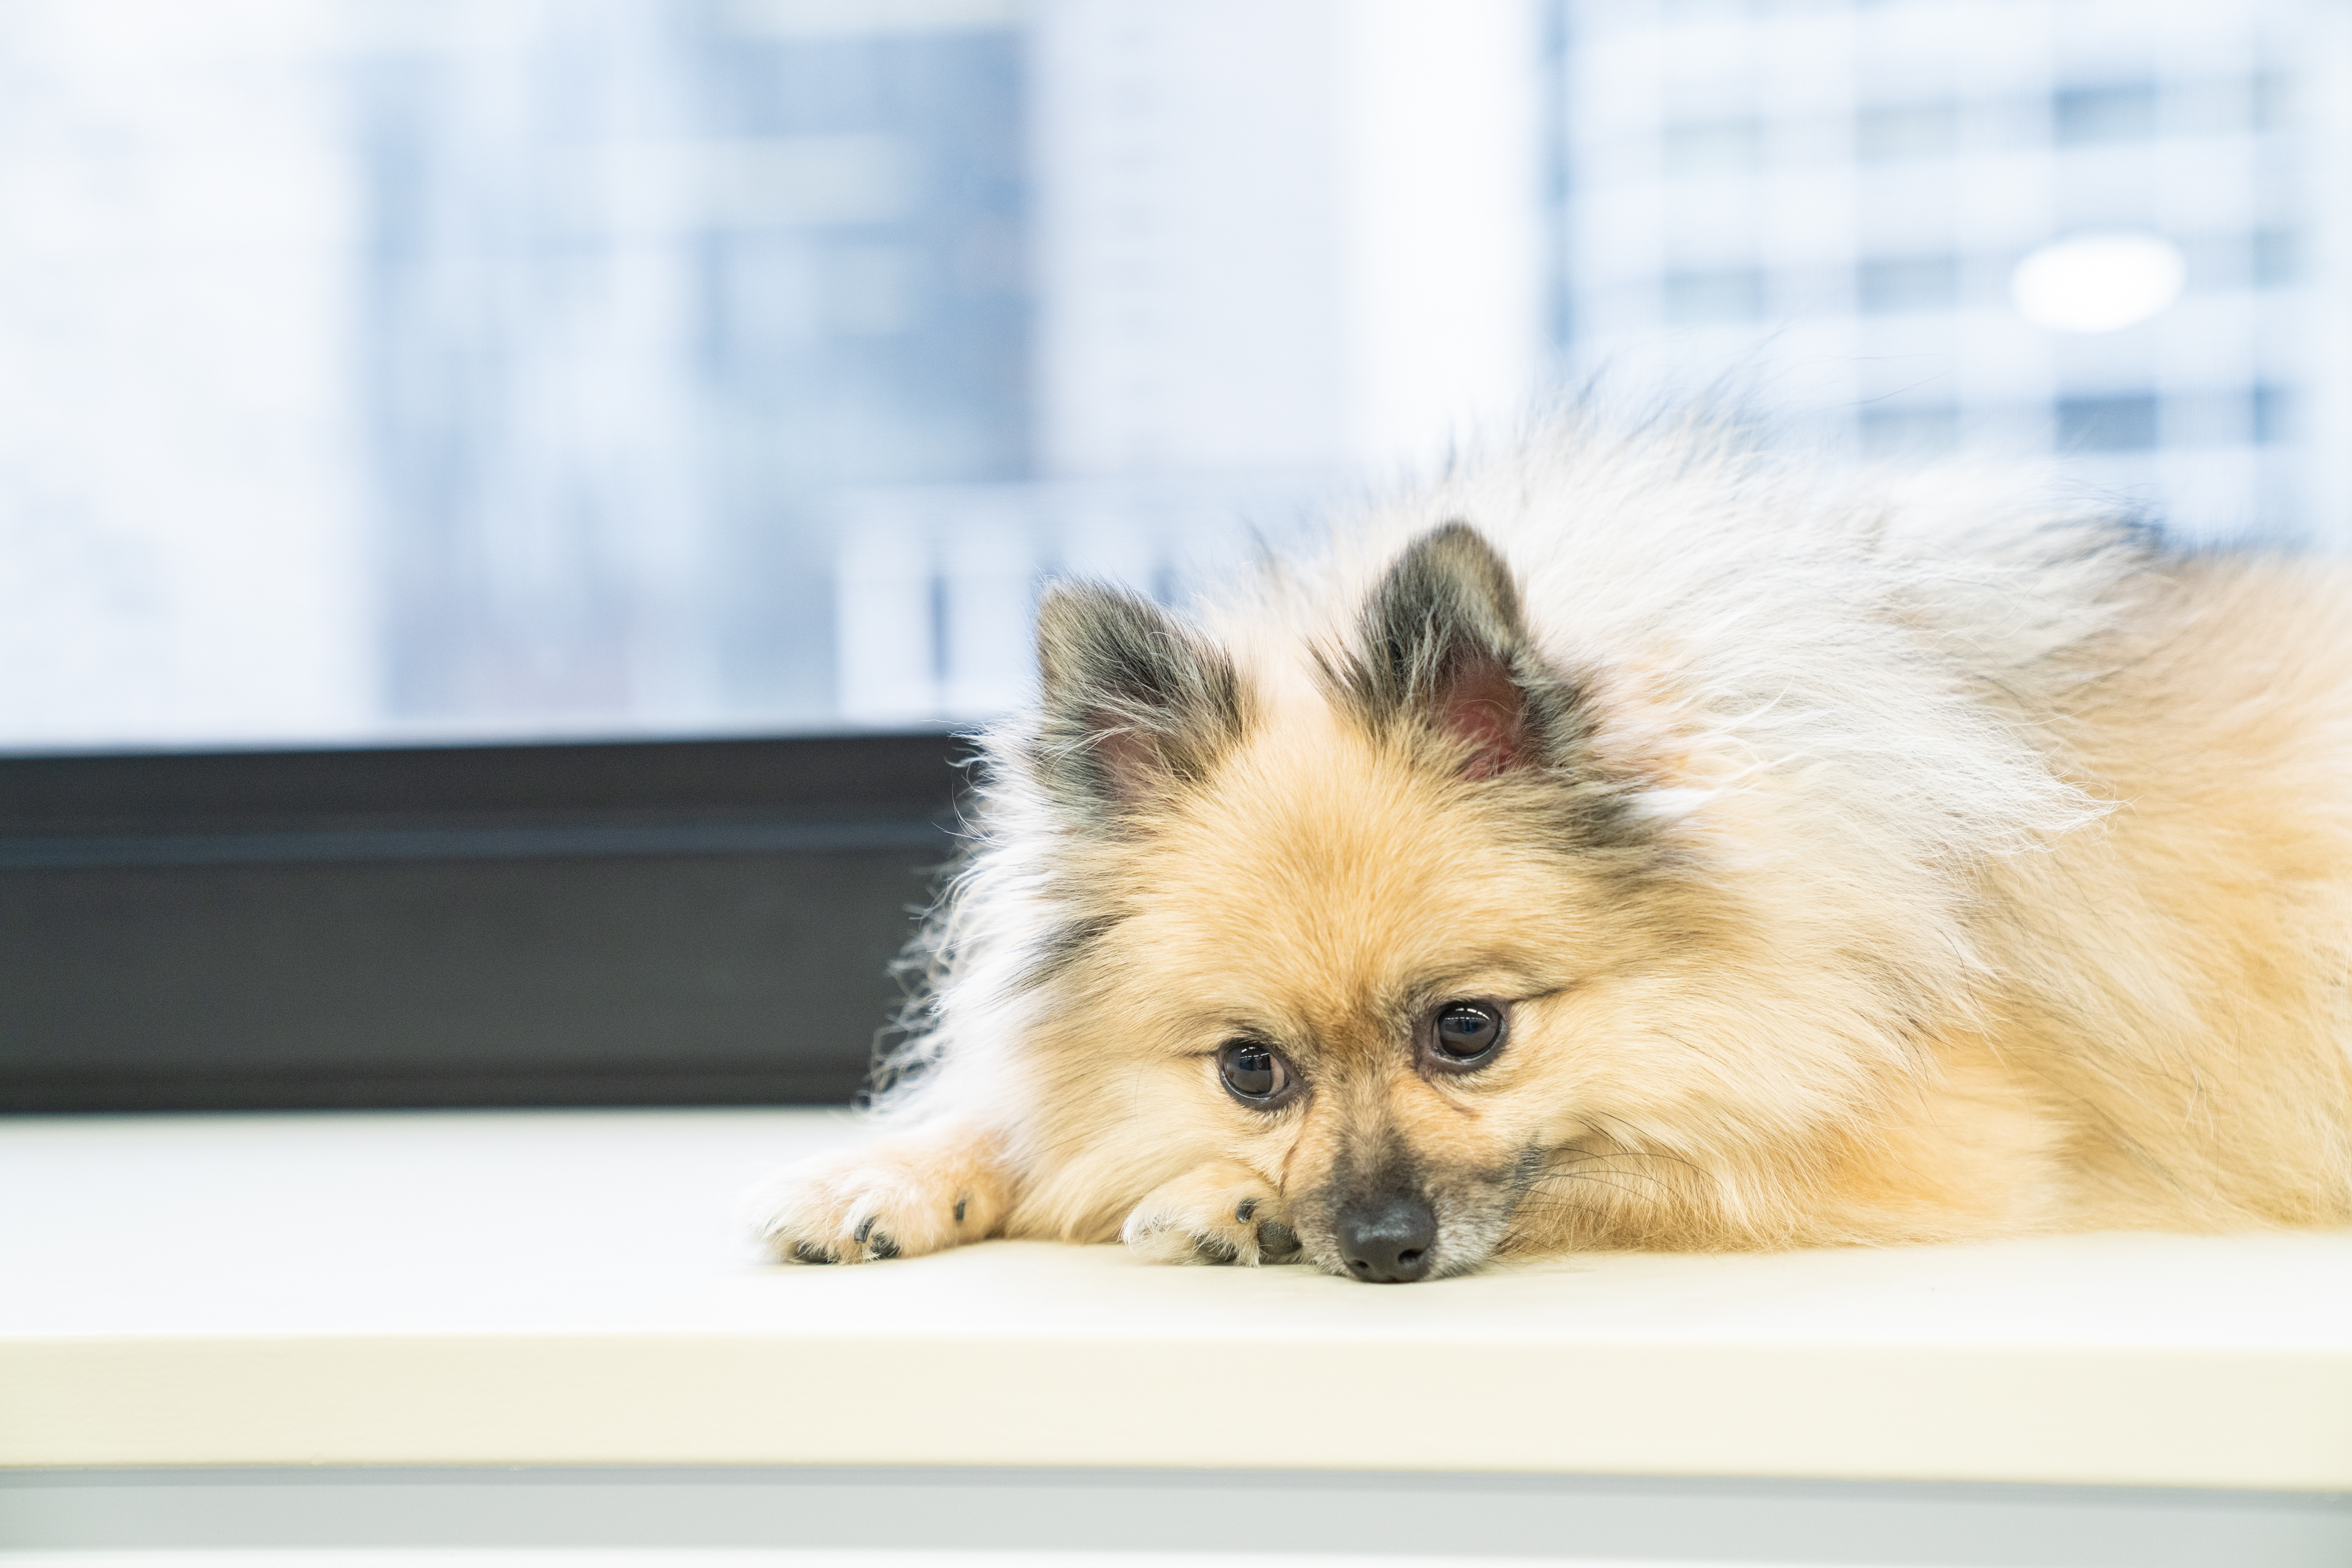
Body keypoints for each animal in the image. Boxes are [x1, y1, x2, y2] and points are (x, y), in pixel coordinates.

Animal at [748, 423, 2352, 1279]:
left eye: (1468, 1031)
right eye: (1250, 1071)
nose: (1381, 1245)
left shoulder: (1925, 1143)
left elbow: (1611, 1169)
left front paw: (1210, 1200)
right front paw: (897, 1171)